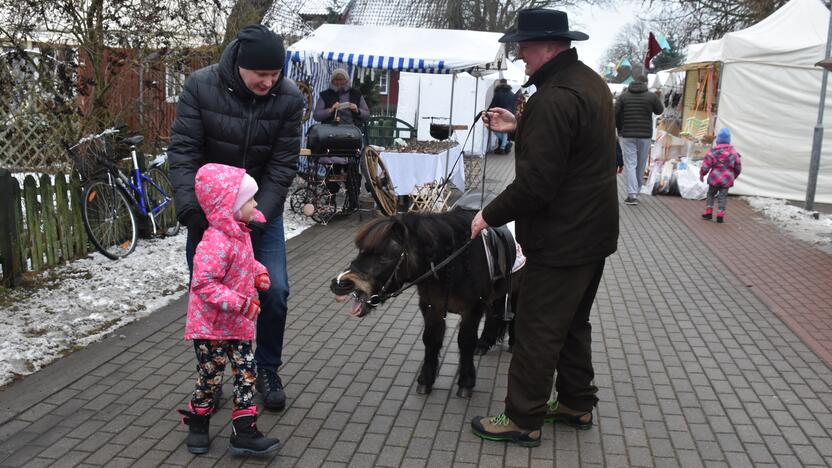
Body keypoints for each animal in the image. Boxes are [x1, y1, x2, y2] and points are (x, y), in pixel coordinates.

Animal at [328, 210, 510, 396]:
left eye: (384, 257)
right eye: (361, 251)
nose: (340, 283)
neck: (454, 265)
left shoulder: (472, 309)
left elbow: (465, 342)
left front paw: (466, 382)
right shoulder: (432, 307)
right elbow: (431, 340)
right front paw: (426, 380)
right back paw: (485, 342)